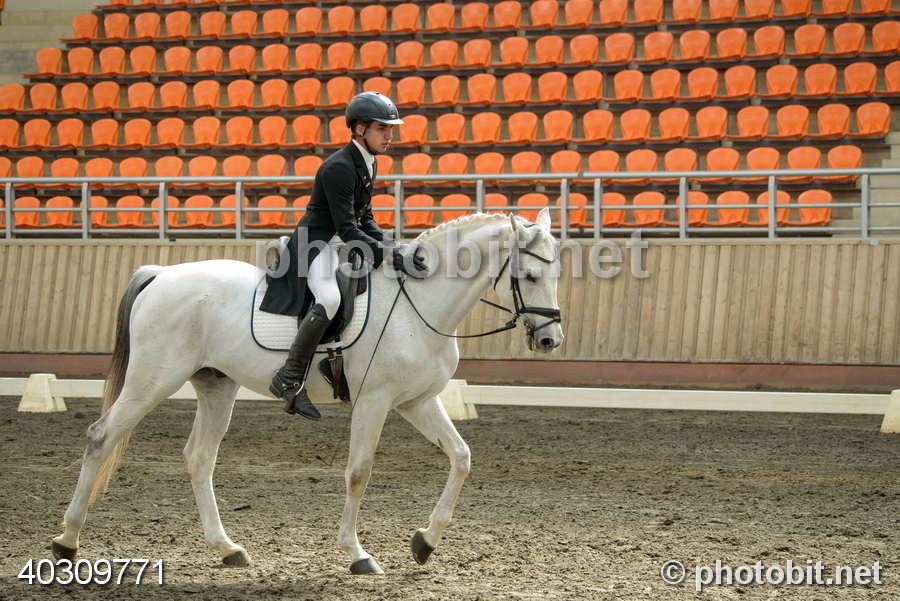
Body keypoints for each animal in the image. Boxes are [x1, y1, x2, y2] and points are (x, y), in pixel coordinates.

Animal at [51, 208, 564, 575]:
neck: (418, 304)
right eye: (531, 277)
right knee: (102, 436)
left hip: (216, 384)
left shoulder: (416, 400)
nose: (550, 341)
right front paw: (358, 554)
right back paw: (66, 543)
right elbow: (358, 473)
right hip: (152, 379)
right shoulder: (375, 401)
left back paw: (227, 549)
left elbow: (461, 457)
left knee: (198, 457)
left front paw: (425, 542)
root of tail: (161, 274)